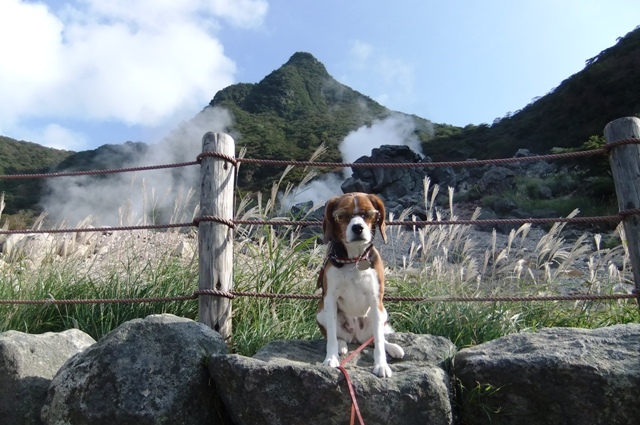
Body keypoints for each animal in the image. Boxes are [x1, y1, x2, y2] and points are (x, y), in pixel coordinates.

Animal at [316, 190, 404, 376]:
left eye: (368, 214)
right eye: (342, 215)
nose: (358, 227)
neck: (354, 259)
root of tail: (355, 336)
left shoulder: (376, 299)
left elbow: (379, 340)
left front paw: (381, 365)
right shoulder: (329, 298)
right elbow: (331, 335)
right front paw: (331, 358)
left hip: (382, 313)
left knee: (374, 338)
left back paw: (391, 347)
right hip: (320, 312)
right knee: (335, 336)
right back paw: (341, 345)